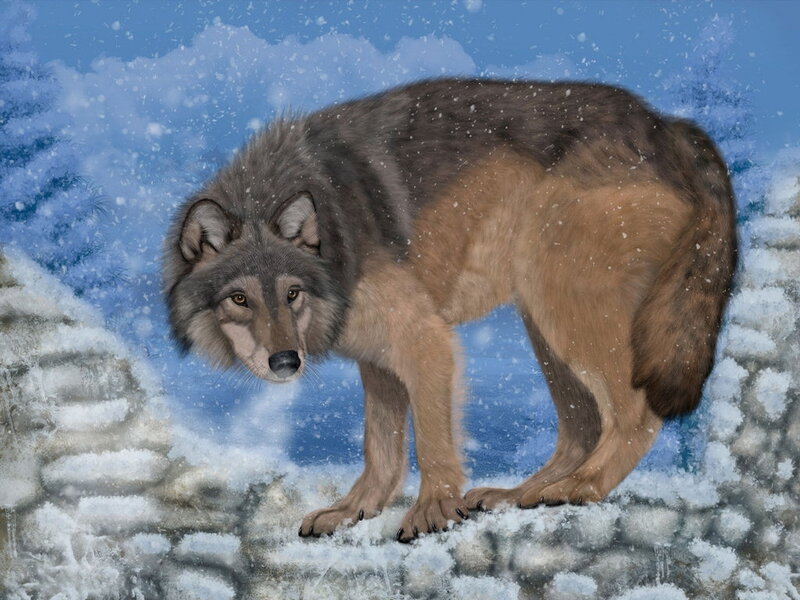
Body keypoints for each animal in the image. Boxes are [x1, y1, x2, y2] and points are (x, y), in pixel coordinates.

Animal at [163, 78, 737, 542]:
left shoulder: (425, 341)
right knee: (581, 427)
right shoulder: (376, 360)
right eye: (240, 299)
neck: (334, 224)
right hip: (544, 323)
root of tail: (669, 125)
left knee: (635, 415)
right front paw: (352, 511)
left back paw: (581, 485)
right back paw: (517, 495)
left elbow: (432, 439)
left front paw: (433, 510)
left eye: (291, 293)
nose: (286, 362)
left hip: (566, 307)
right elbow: (380, 449)